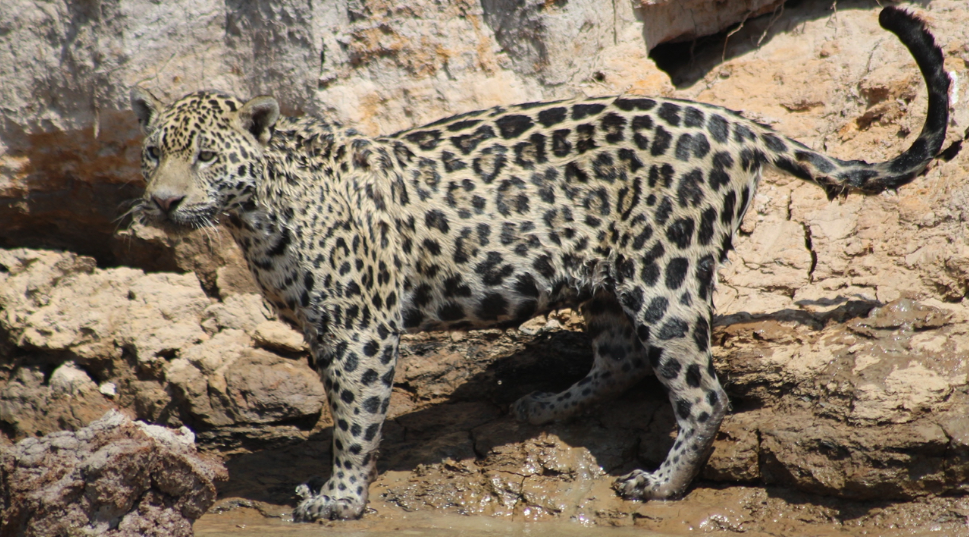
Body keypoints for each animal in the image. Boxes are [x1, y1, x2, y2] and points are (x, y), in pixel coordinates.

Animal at [128, 7, 948, 522]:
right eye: (152, 152)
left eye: (206, 157)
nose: (163, 202)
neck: (258, 216)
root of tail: (733, 122)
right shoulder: (321, 328)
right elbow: (338, 407)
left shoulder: (361, 329)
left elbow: (355, 417)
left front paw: (339, 497)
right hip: (610, 279)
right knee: (620, 358)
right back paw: (545, 405)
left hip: (665, 274)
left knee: (701, 390)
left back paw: (659, 484)